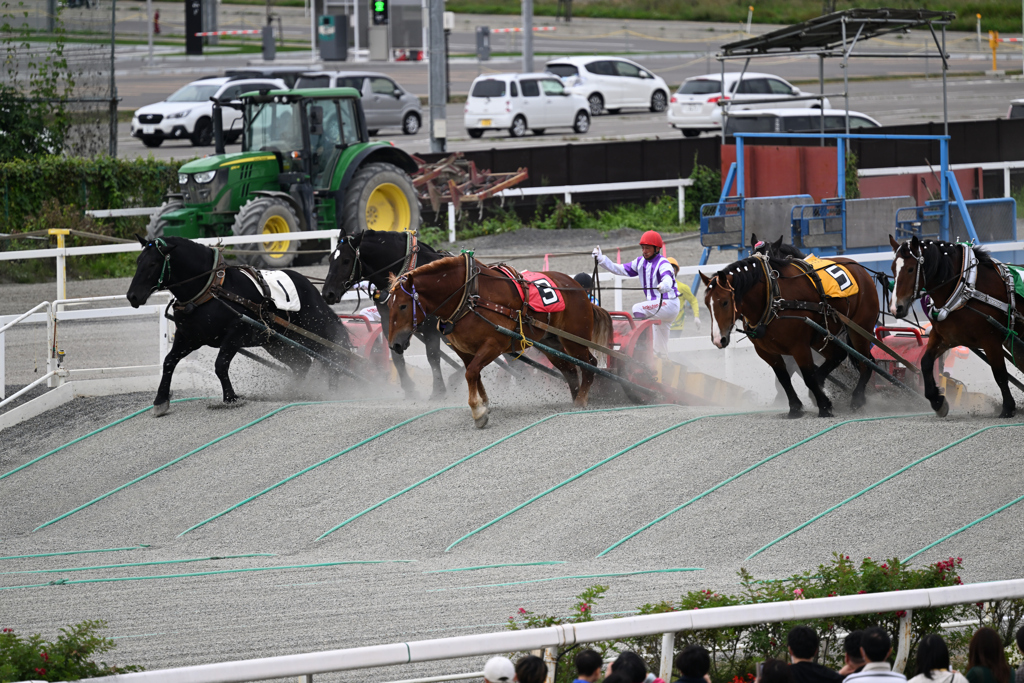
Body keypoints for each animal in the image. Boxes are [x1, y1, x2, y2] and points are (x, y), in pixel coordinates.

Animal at [125, 235, 352, 417]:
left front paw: (230, 397)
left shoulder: (235, 334)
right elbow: (169, 362)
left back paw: (335, 390)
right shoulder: (189, 337)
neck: (211, 289)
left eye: (153, 263)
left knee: (335, 355)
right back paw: (296, 391)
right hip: (276, 342)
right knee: (303, 363)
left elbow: (220, 365)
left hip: (314, 331)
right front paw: (160, 400)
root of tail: (310, 287)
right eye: (138, 261)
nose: (132, 296)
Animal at [319, 231, 448, 401]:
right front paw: (410, 389)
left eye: (346, 260)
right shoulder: (388, 323)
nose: (328, 294)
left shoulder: (431, 325)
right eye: (330, 259)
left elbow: (433, 356)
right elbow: (397, 357)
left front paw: (438, 390)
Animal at [387, 254, 610, 428]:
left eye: (403, 306)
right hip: (551, 344)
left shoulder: (493, 345)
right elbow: (473, 374)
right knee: (570, 369)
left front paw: (478, 411)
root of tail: (579, 291)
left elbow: (471, 373)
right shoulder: (464, 350)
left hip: (574, 340)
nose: (394, 344)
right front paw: (484, 403)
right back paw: (575, 398)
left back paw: (581, 399)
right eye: (388, 305)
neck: (469, 297)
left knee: (590, 364)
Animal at [704, 253, 880, 419]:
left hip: (860, 328)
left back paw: (857, 398)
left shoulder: (799, 347)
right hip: (820, 337)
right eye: (707, 303)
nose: (718, 339)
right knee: (838, 355)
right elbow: (784, 378)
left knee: (867, 362)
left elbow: (808, 376)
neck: (773, 300)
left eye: (725, 302)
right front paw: (796, 407)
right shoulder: (766, 351)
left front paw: (824, 407)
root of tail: (858, 267)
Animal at [888, 235, 1024, 417]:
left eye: (910, 269)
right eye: (892, 268)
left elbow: (1000, 374)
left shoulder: (991, 340)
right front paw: (937, 401)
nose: (896, 308)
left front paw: (1008, 407)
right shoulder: (945, 337)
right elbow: (926, 362)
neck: (966, 289)